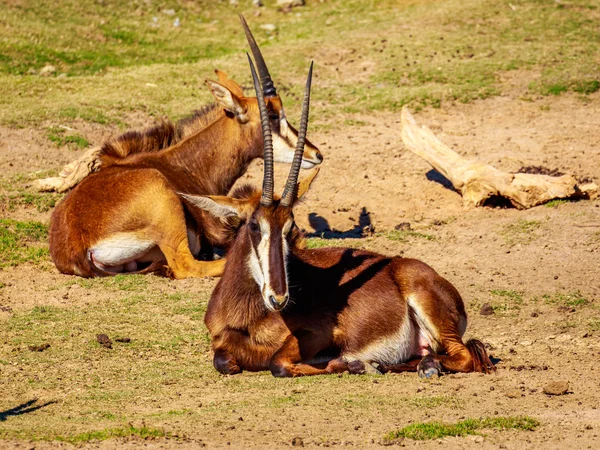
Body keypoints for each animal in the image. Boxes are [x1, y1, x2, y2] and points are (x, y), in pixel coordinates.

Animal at [50, 14, 324, 278]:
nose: (316, 154)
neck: (185, 165)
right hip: (165, 206)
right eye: (274, 116)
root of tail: (77, 249)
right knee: (188, 266)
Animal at [185, 56, 494, 378]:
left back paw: (416, 365)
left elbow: (278, 363)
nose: (279, 299)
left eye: (290, 229)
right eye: (255, 226)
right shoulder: (220, 344)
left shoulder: (318, 334)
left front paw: (352, 362)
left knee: (465, 355)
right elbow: (223, 362)